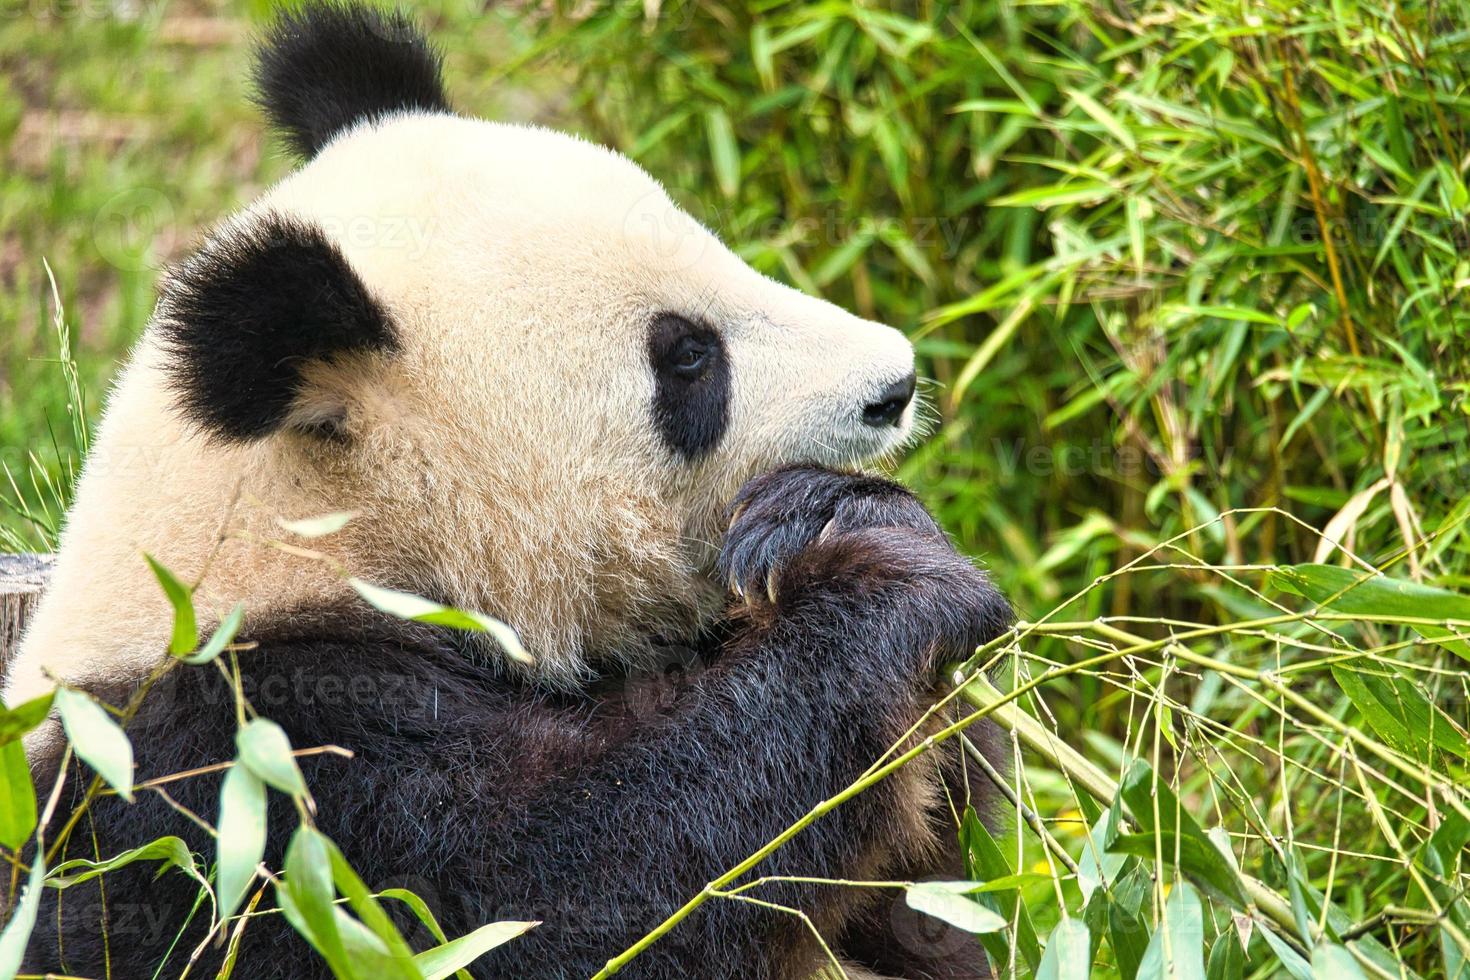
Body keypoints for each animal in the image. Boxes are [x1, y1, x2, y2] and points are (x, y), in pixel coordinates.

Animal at [2, 3, 1011, 975]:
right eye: (687, 358)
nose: (895, 383)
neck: (313, 536)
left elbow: (939, 902)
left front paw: (826, 517)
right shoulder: (251, 771)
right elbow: (566, 896)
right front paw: (884, 586)